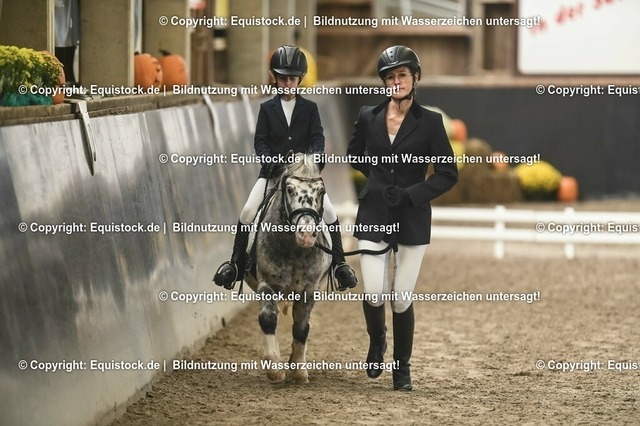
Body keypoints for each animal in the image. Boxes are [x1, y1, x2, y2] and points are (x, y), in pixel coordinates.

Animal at [244, 153, 332, 383]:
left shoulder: (309, 291)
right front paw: (275, 369)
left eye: (321, 191)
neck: (295, 249)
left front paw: (299, 370)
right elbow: (268, 319)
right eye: (290, 190)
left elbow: (301, 327)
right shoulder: (267, 285)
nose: (307, 234)